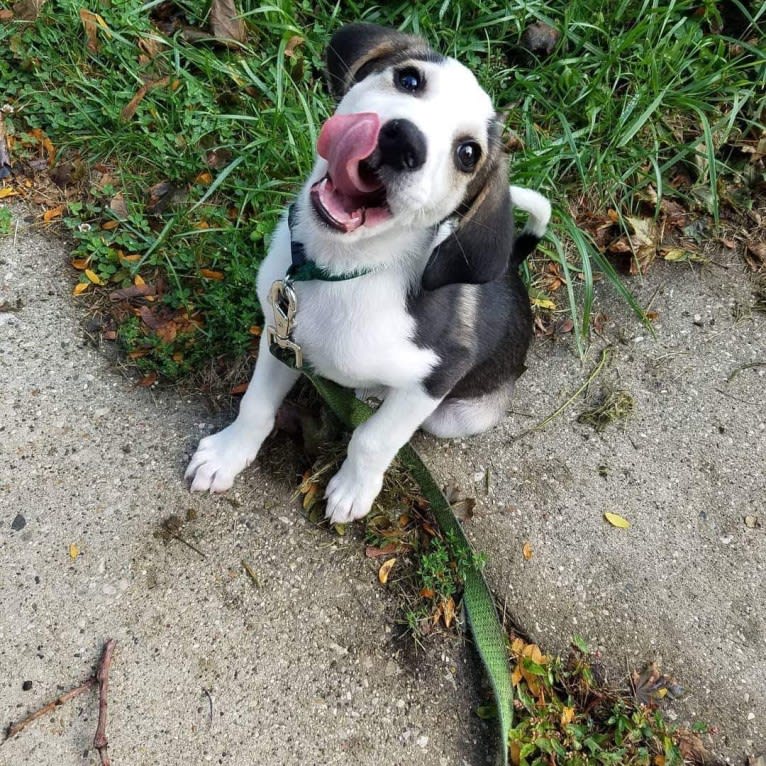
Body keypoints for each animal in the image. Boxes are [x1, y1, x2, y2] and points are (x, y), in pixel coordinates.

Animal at [186, 25, 552, 528]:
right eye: (409, 80)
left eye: (467, 153)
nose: (404, 142)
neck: (343, 273)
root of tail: (513, 263)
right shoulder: (280, 335)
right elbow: (256, 403)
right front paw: (228, 453)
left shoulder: (436, 376)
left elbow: (374, 439)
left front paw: (353, 489)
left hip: (455, 416)